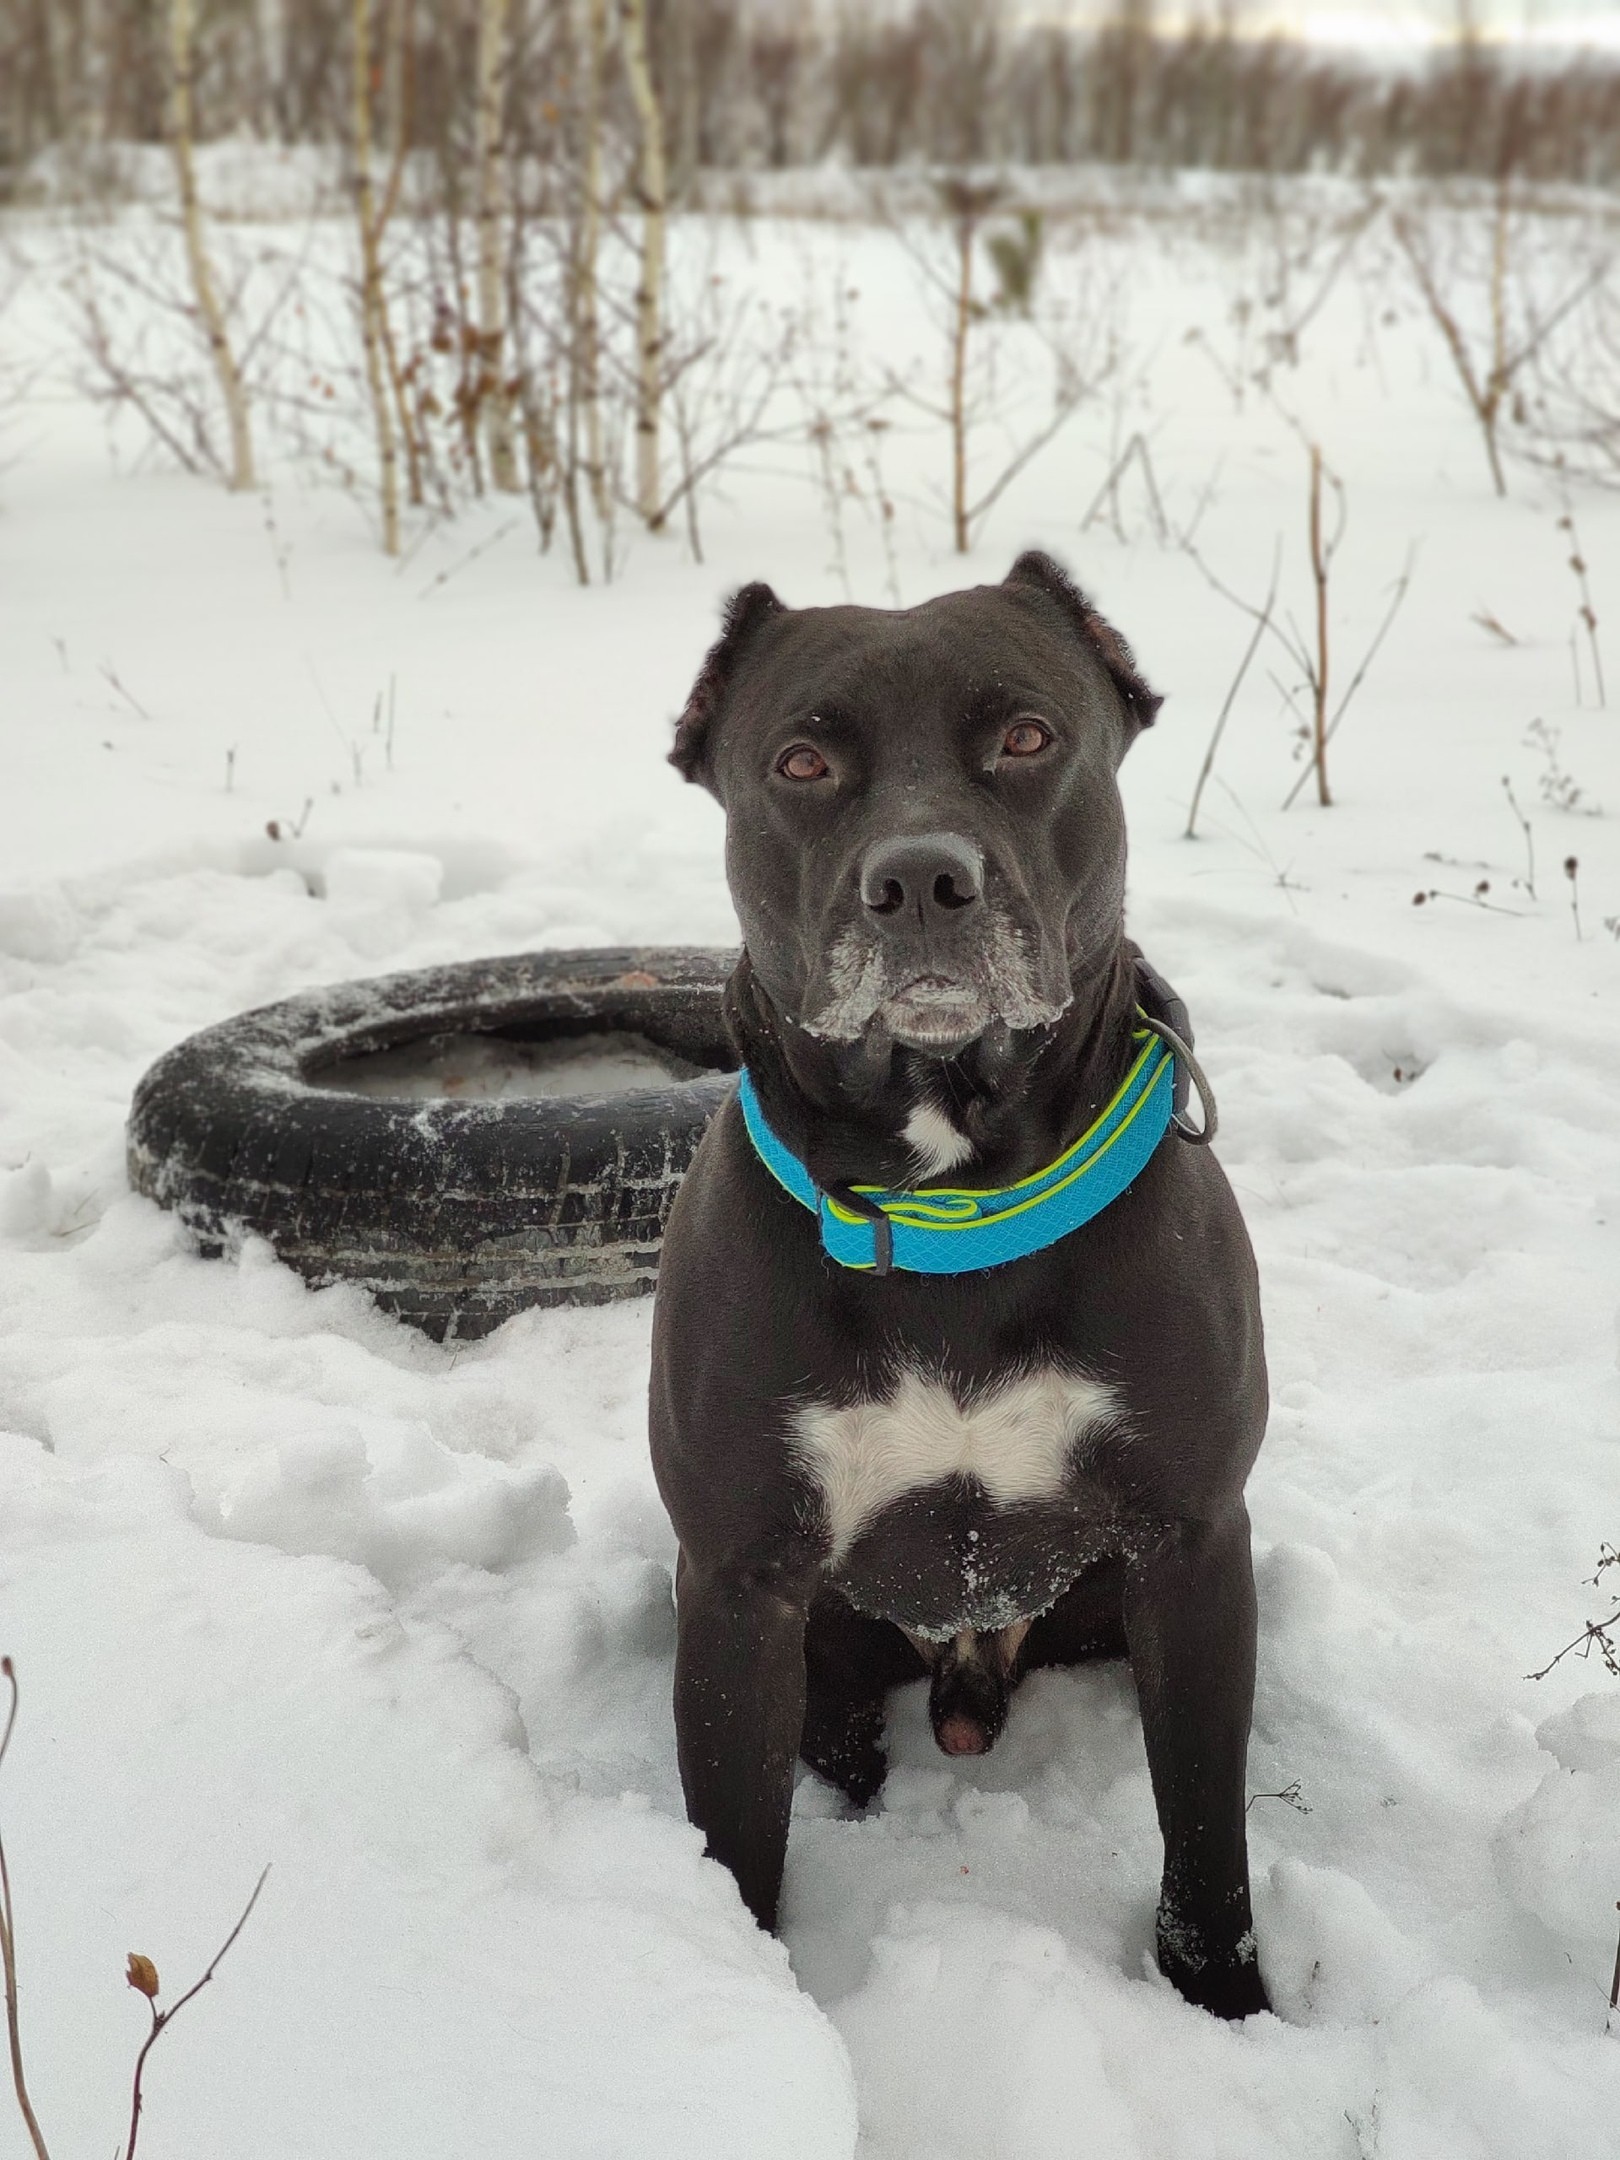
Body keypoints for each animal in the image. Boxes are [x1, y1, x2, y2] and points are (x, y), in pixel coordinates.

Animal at [652, 548, 1278, 2013]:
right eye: (804, 760)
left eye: (1027, 738)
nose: (922, 880)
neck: (952, 1198)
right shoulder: (738, 1583)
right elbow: (733, 1847)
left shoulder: (1192, 1551)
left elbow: (1206, 1837)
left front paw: (1229, 2005)